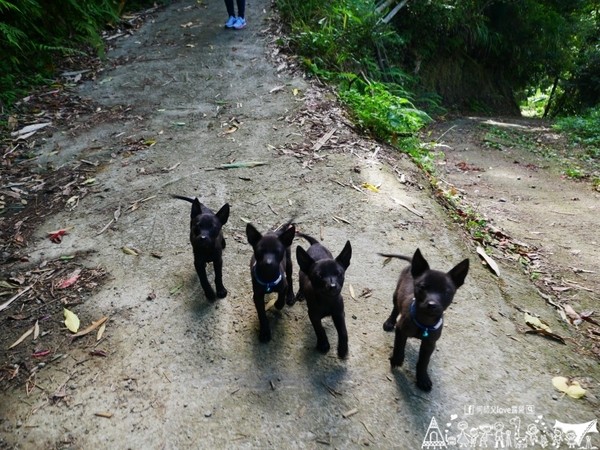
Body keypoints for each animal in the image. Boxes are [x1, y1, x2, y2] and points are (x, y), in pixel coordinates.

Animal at [380, 248, 468, 392]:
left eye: (446, 292)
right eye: (422, 287)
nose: (432, 304)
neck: (424, 323)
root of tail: (412, 264)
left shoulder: (429, 343)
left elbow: (423, 361)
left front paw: (422, 378)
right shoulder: (401, 331)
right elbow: (399, 347)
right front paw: (397, 360)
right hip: (396, 293)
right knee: (395, 308)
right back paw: (389, 322)